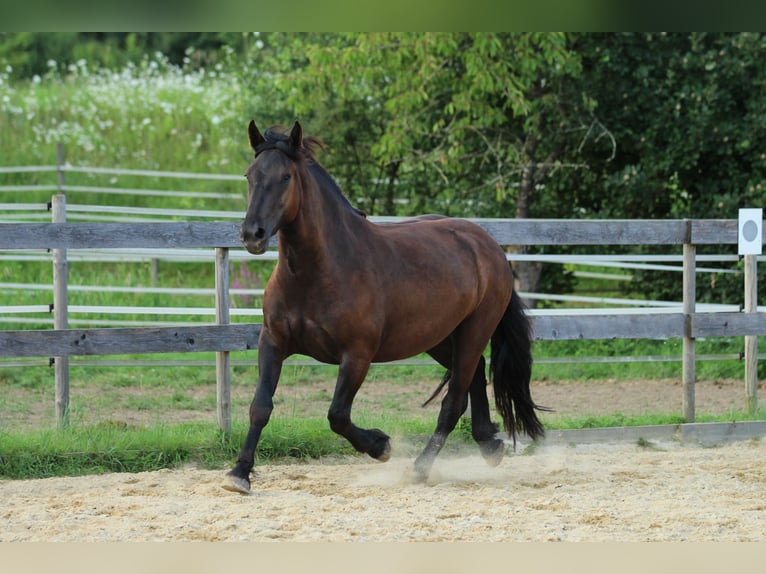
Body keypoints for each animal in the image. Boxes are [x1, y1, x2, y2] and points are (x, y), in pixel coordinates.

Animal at [225, 120, 548, 496]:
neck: (318, 271)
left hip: (475, 329)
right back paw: (489, 444)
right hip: (438, 337)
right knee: (476, 374)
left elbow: (337, 415)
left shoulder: (357, 355)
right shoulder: (273, 343)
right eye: (249, 175)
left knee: (453, 400)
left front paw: (381, 445)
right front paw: (239, 474)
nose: (252, 234)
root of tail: (488, 245)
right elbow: (260, 407)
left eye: (286, 177)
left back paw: (421, 468)